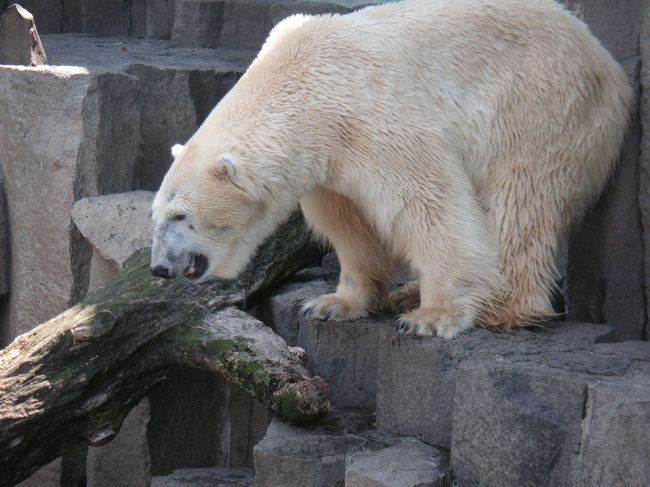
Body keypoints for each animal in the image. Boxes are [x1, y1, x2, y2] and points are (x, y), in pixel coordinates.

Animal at [151, 0, 628, 340]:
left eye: (181, 215)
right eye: (155, 217)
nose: (159, 269)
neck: (301, 82)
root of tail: (606, 62)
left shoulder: (373, 116)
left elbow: (427, 205)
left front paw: (434, 316)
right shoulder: (327, 162)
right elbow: (349, 224)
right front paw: (333, 303)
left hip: (540, 105)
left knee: (520, 199)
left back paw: (503, 306)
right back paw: (407, 292)